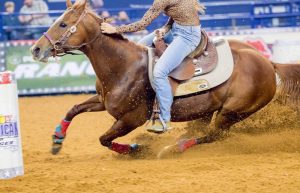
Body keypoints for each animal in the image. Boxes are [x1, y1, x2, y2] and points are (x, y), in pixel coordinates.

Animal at [31, 0, 298, 155]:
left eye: (63, 24)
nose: (35, 49)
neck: (123, 66)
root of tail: (269, 63)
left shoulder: (131, 119)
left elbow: (104, 138)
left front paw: (135, 147)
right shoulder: (102, 101)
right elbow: (73, 108)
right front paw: (57, 138)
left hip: (233, 112)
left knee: (213, 135)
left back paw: (173, 147)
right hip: (208, 110)